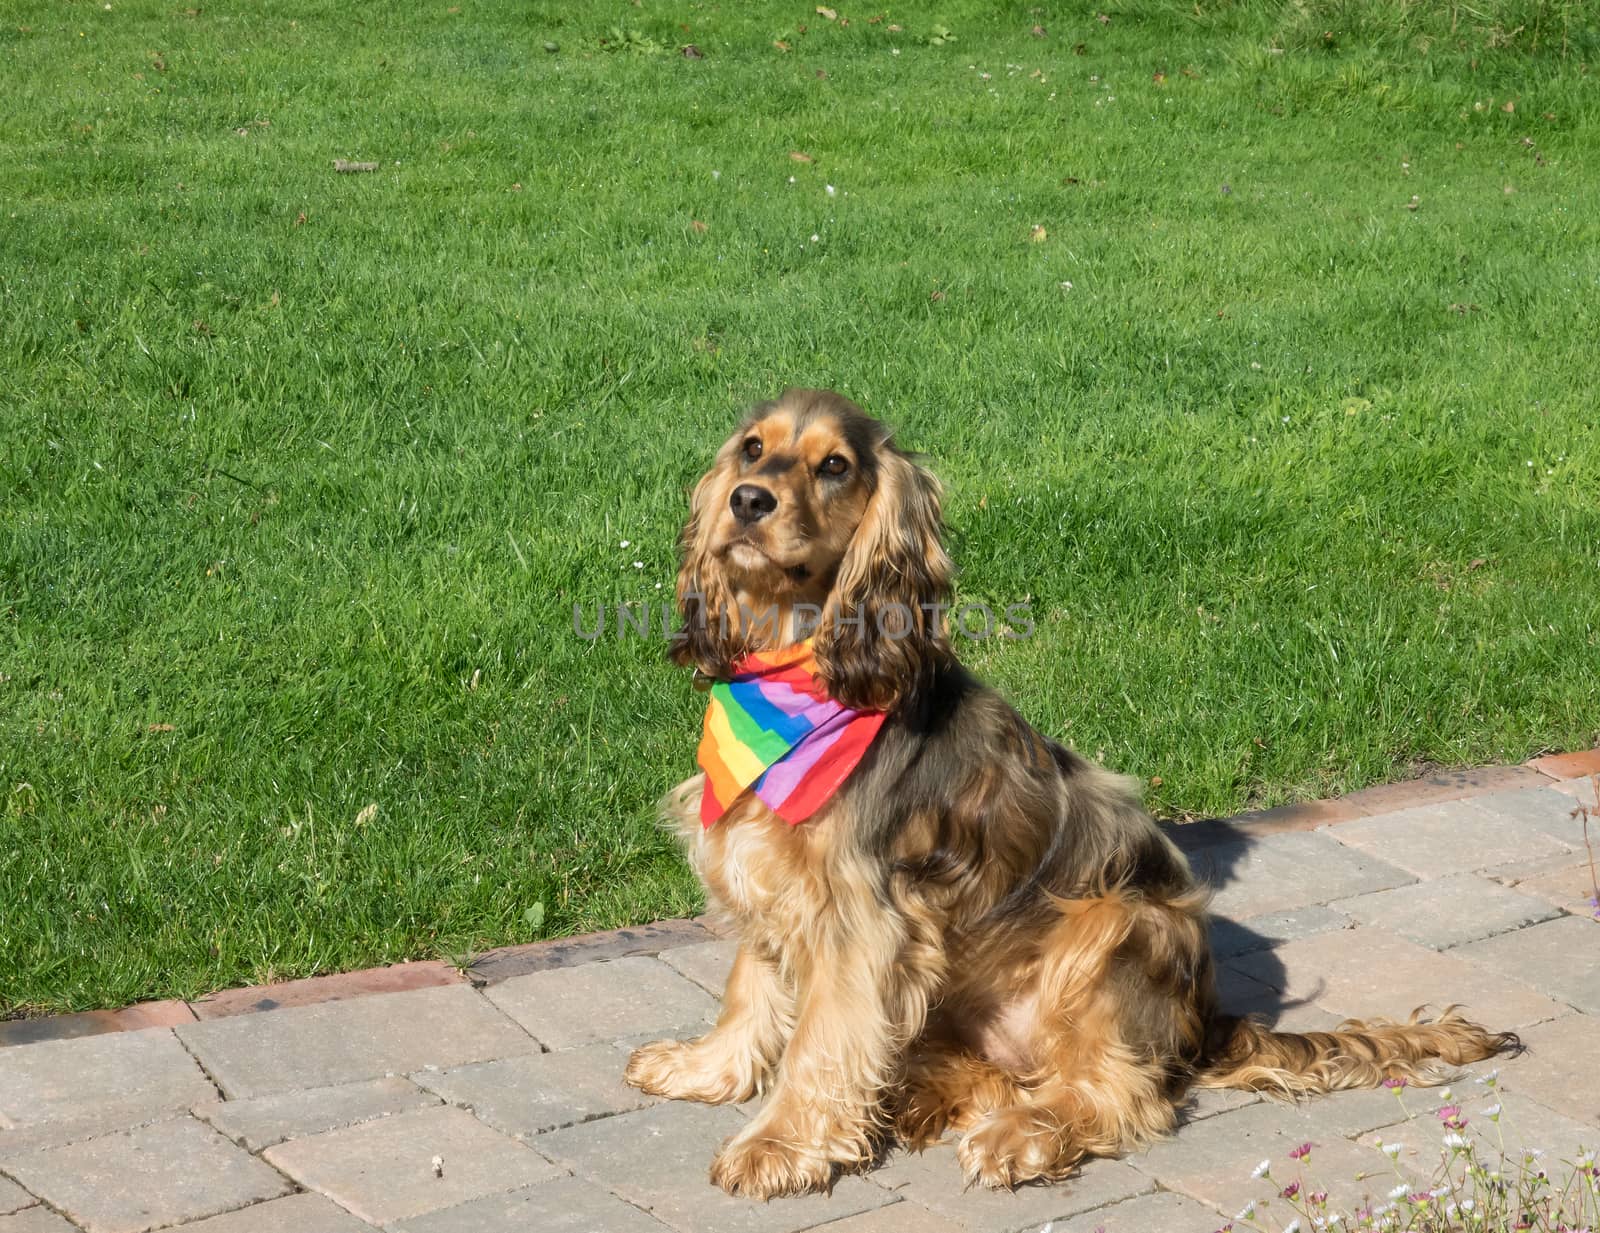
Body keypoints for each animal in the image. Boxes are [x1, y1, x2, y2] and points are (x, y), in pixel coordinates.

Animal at [617, 390, 1516, 1202]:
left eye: (834, 465)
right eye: (752, 449)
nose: (747, 500)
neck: (796, 670)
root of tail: (1200, 1026)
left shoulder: (858, 917)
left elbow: (820, 1040)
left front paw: (776, 1144)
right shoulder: (765, 869)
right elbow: (750, 988)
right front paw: (704, 1067)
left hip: (1119, 921)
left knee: (1117, 1091)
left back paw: (1020, 1135)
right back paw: (919, 1098)